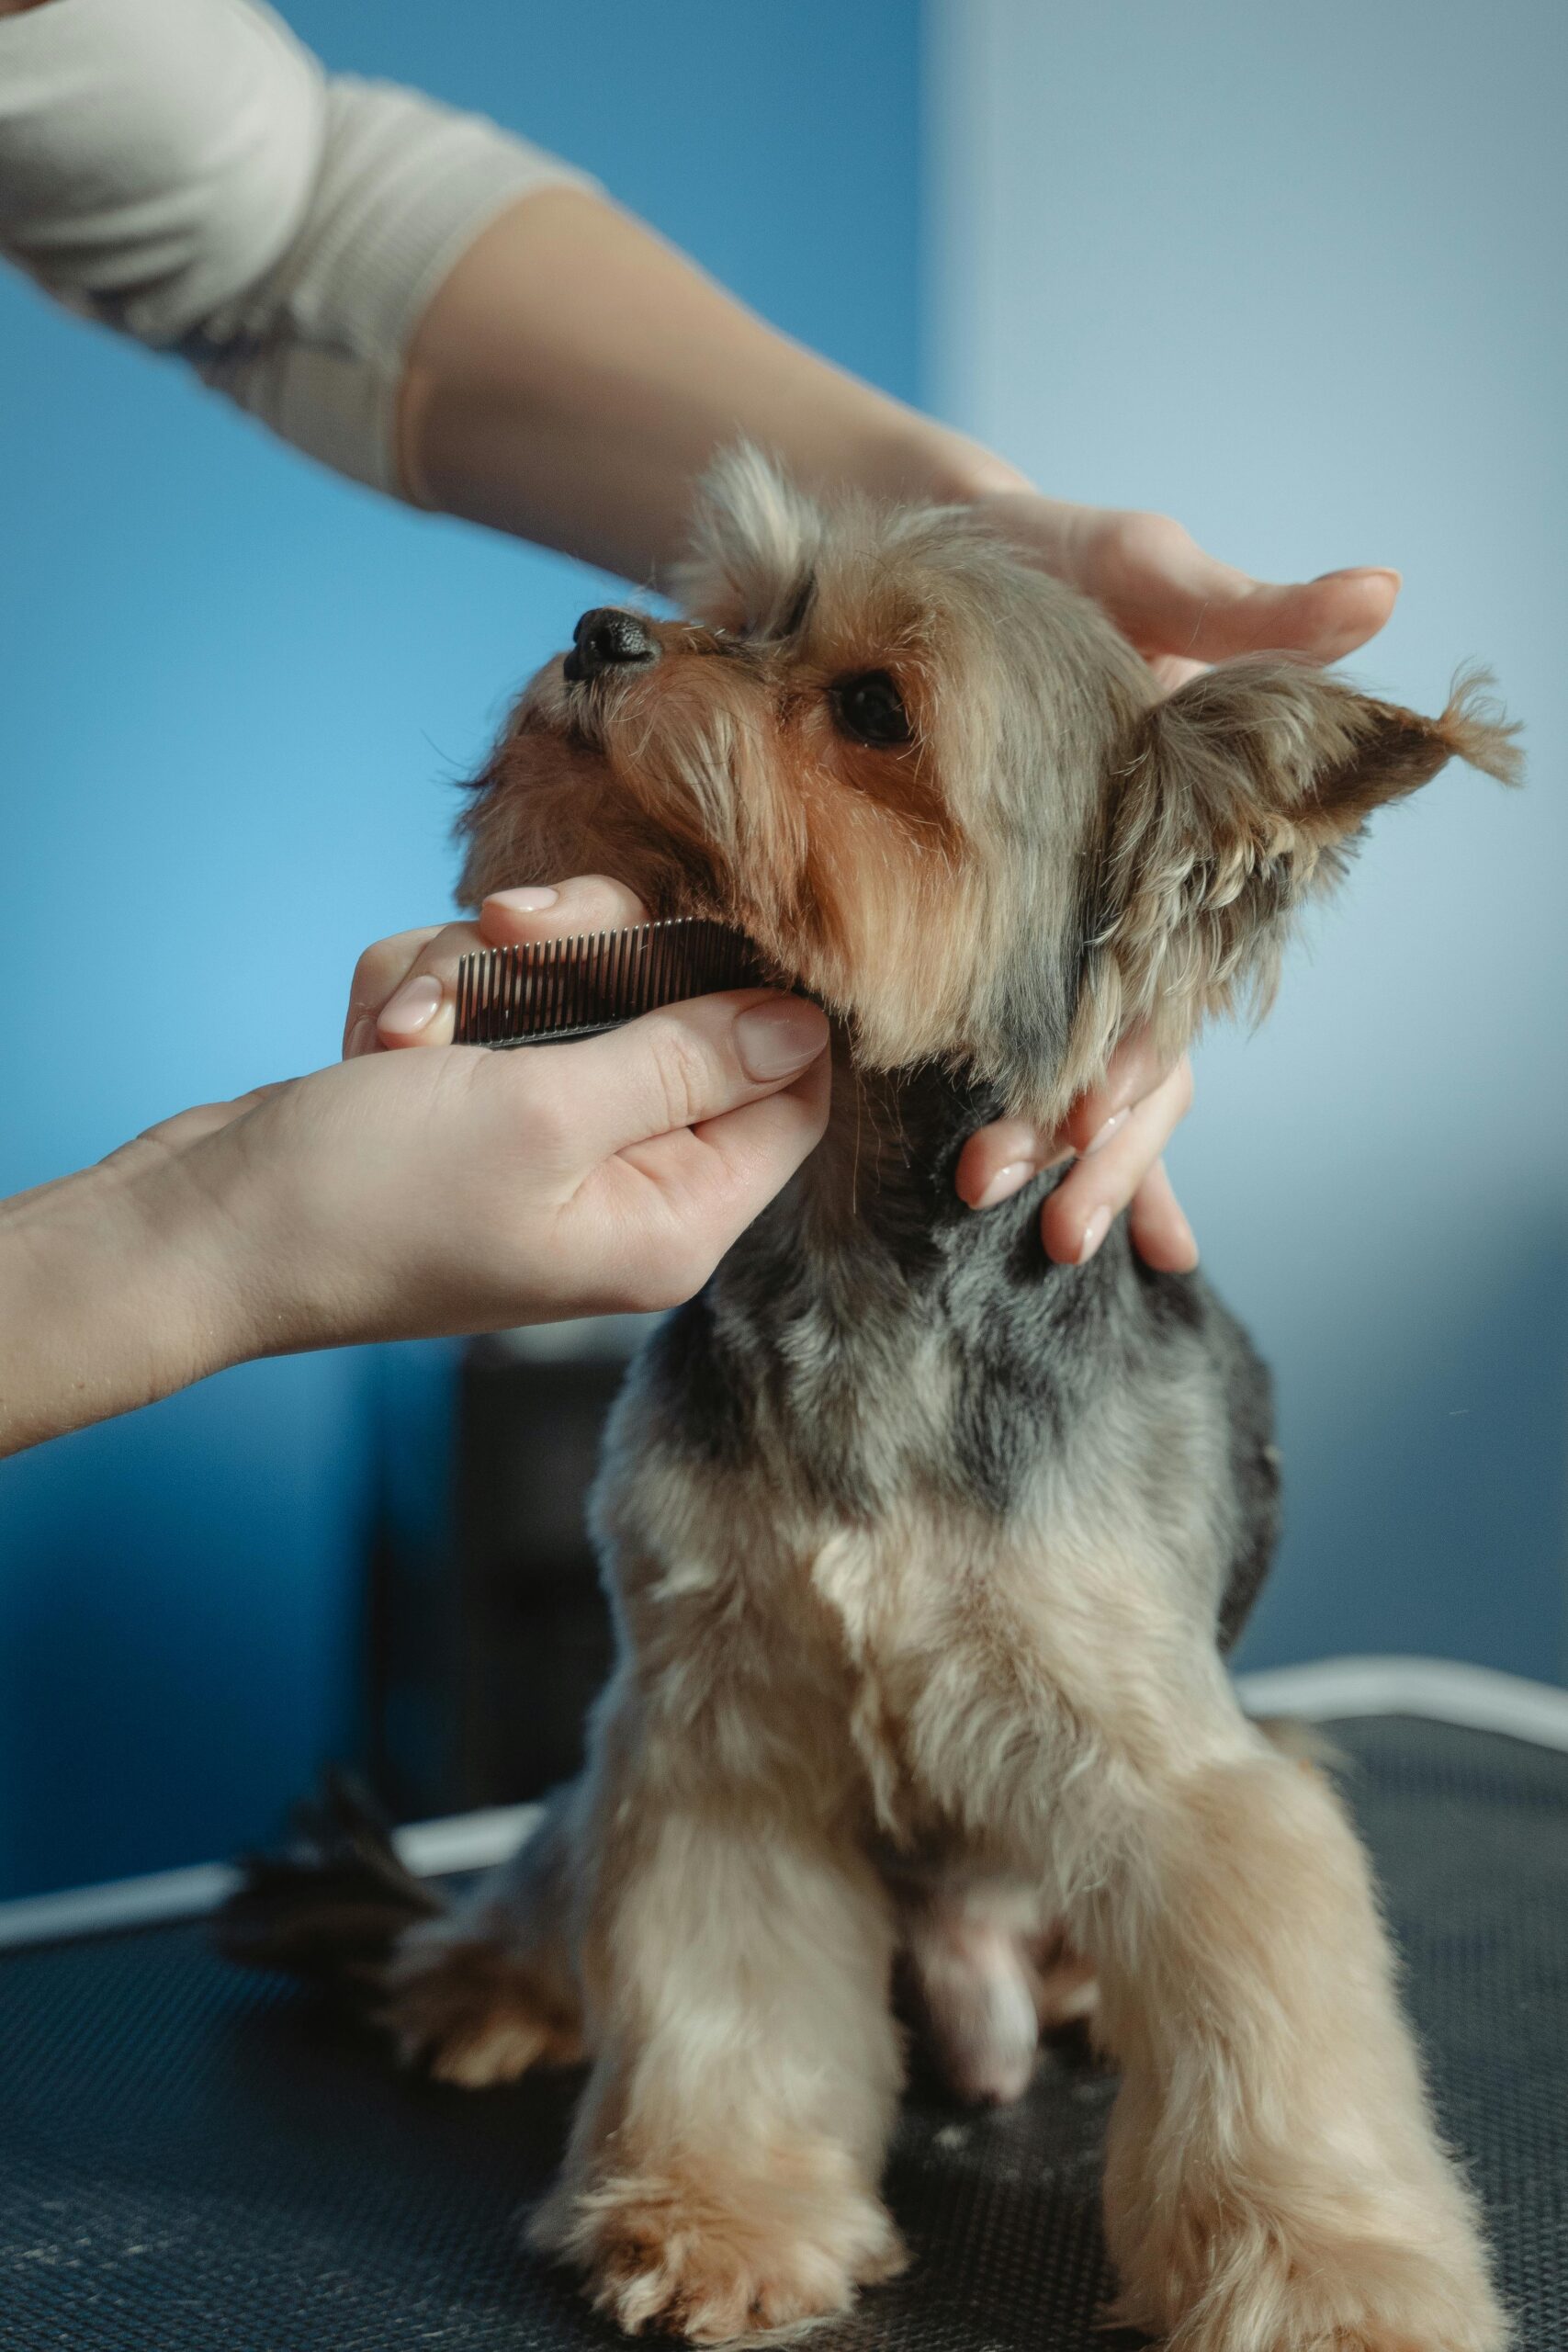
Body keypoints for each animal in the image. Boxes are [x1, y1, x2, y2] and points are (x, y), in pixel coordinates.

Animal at [220, 454, 1523, 2352]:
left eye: (872, 710)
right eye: (729, 609)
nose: (597, 632)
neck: (850, 1265)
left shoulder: (1181, 1768)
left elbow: (1268, 2022)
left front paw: (1329, 2281)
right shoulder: (716, 1729)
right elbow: (724, 1983)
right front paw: (712, 2212)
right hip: (606, 1758)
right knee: (551, 1862)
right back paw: (483, 1976)